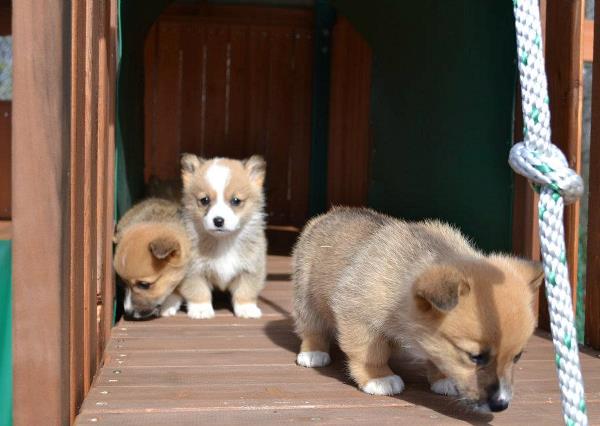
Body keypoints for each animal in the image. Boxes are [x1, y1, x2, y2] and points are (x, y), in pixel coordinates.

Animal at [178, 154, 268, 320]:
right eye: (204, 200)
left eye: (236, 201)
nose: (218, 221)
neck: (224, 242)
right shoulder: (193, 270)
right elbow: (198, 291)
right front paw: (201, 310)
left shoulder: (251, 268)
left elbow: (246, 291)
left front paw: (246, 309)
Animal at [292, 208, 548, 412]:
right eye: (474, 357)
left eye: (518, 356)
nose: (501, 405)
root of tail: (329, 214)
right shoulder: (357, 317)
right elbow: (369, 353)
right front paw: (379, 378)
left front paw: (443, 378)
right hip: (306, 297)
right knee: (312, 328)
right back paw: (313, 353)